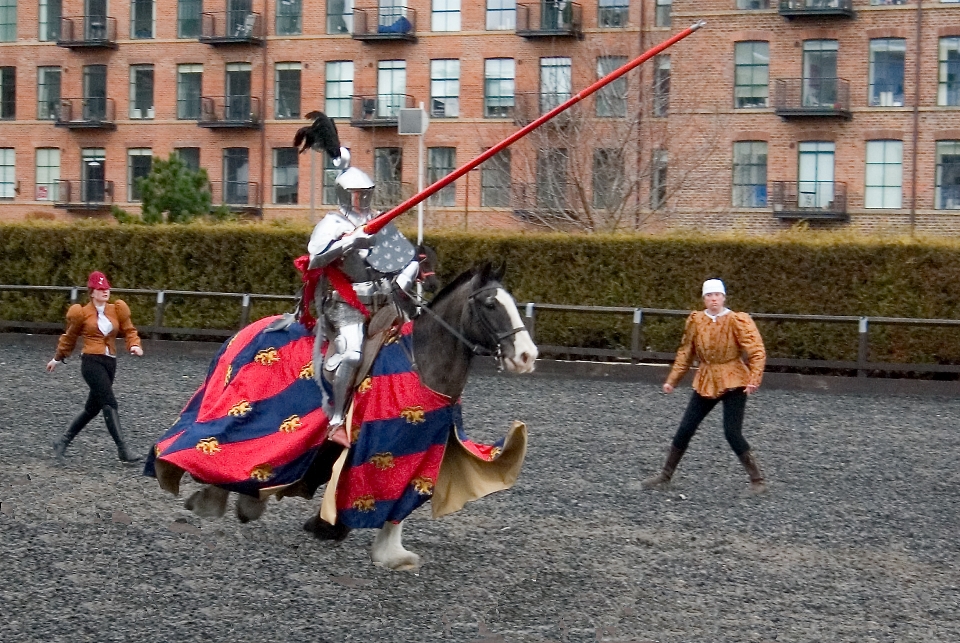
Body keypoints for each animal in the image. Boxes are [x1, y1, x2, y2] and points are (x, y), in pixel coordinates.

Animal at [154, 262, 536, 572]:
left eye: (514, 304)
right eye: (490, 304)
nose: (527, 356)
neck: (419, 362)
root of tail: (242, 333)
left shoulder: (422, 449)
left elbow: (401, 501)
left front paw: (389, 552)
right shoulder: (384, 445)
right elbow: (375, 492)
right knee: (213, 447)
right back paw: (212, 497)